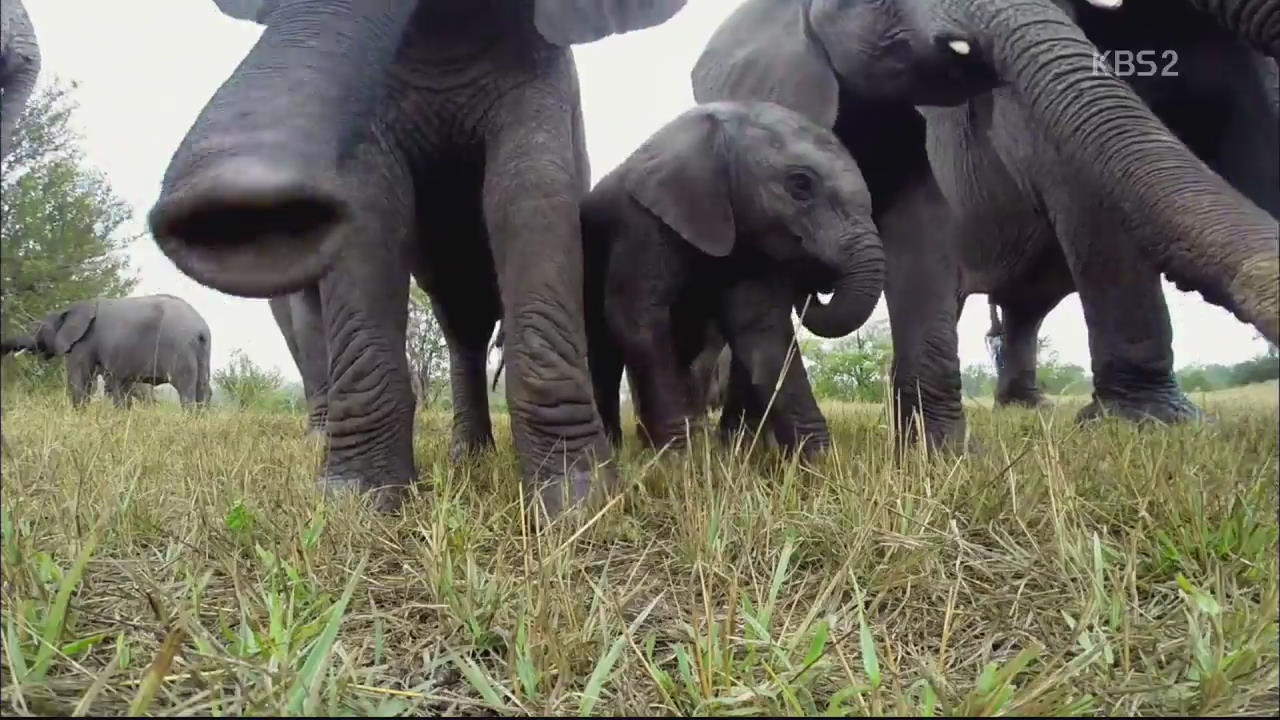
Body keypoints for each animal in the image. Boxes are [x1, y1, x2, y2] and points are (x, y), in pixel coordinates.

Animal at [0, 292, 212, 404]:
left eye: (38, 329)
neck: (73, 307)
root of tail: (199, 327)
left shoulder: (85, 341)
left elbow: (81, 378)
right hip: (202, 350)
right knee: (203, 389)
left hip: (180, 349)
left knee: (185, 389)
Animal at [146, 0, 691, 515]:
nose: (238, 212)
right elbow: (369, 203)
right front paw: (356, 504)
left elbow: (529, 193)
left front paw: (580, 504)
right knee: (460, 315)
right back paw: (468, 458)